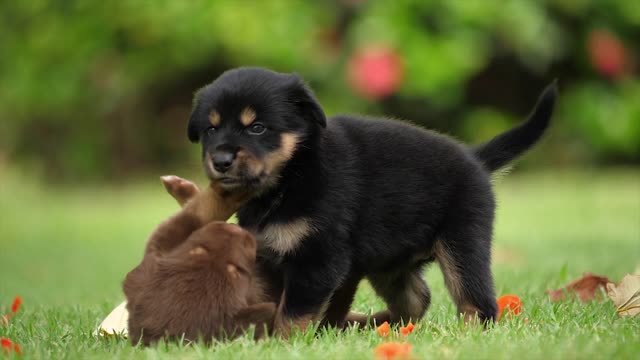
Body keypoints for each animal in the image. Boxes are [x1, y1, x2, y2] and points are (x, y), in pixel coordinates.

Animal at [185, 68, 556, 334]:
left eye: (258, 128)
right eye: (210, 130)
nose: (220, 160)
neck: (292, 176)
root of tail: (474, 158)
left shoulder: (319, 258)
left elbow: (293, 313)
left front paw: (283, 342)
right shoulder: (267, 256)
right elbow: (271, 303)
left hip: (463, 243)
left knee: (477, 302)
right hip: (389, 263)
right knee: (418, 297)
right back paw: (378, 323)